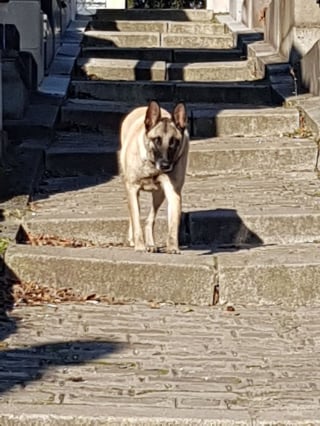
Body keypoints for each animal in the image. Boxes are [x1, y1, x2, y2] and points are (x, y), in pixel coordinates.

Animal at [120, 100, 190, 253]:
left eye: (173, 142)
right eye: (157, 140)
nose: (165, 165)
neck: (152, 166)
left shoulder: (173, 192)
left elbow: (173, 224)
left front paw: (173, 247)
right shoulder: (132, 189)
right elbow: (136, 220)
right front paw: (139, 245)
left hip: (159, 194)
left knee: (150, 219)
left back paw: (151, 244)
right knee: (134, 217)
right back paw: (134, 240)